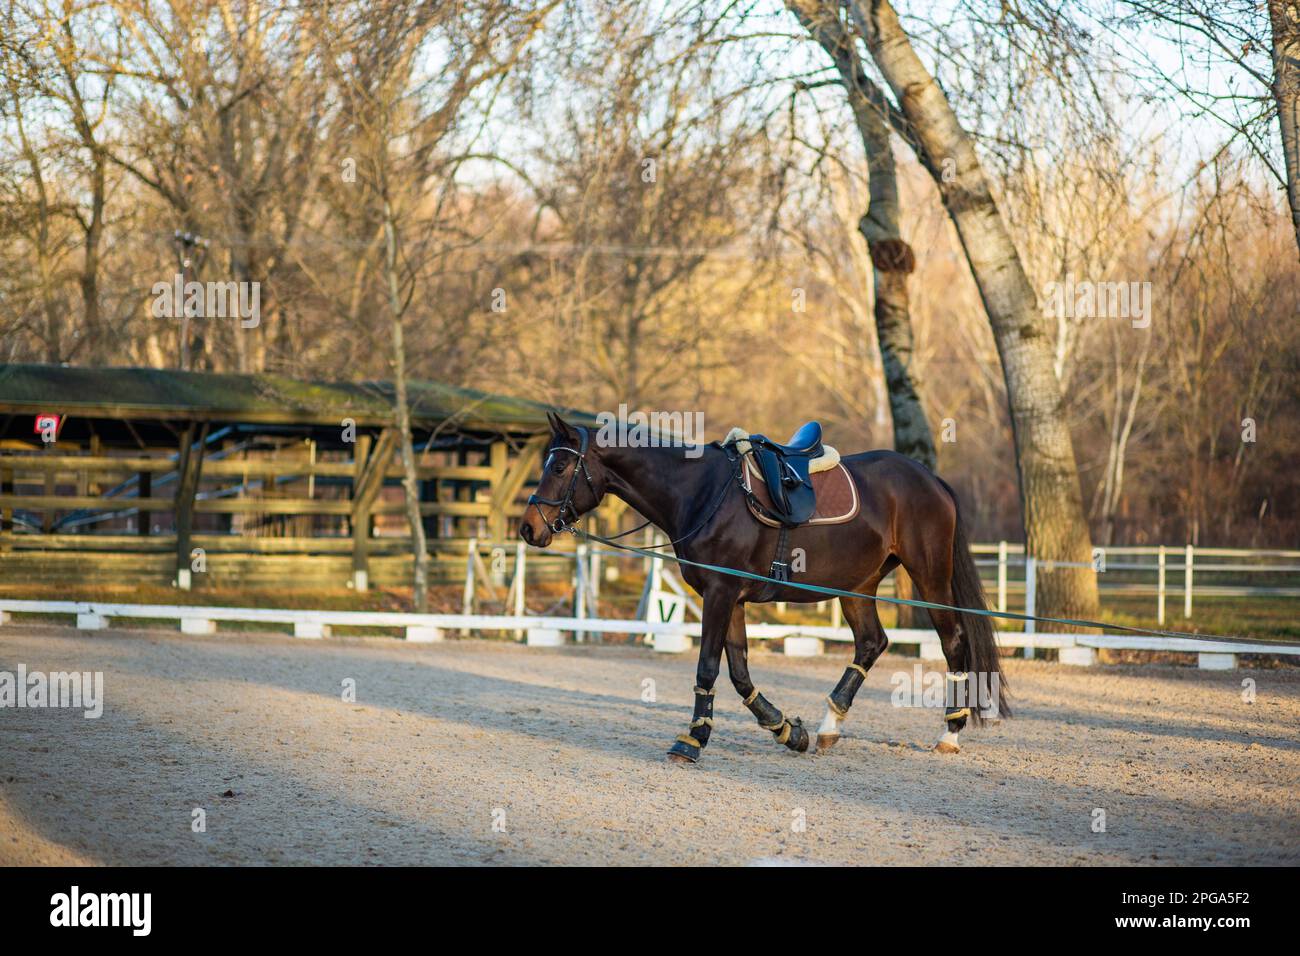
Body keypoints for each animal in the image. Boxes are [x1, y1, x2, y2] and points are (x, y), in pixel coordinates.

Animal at [518, 412, 1010, 763]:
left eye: (559, 465)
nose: (527, 528)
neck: (702, 492)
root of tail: (930, 479)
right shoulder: (729, 599)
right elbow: (739, 673)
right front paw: (787, 730)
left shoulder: (720, 594)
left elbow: (707, 669)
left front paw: (691, 741)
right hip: (858, 585)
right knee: (872, 642)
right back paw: (829, 726)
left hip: (928, 576)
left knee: (953, 640)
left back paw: (949, 733)